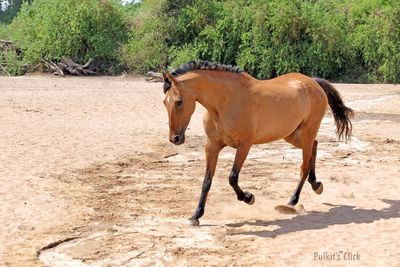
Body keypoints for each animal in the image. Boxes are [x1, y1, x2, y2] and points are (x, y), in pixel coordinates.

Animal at [161, 60, 352, 226]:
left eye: (179, 101)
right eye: (165, 102)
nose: (175, 138)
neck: (224, 102)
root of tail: (313, 82)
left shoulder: (244, 146)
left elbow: (232, 177)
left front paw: (248, 198)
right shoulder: (212, 146)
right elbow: (207, 181)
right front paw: (196, 216)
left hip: (307, 132)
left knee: (304, 166)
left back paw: (291, 202)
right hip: (292, 134)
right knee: (315, 146)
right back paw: (316, 185)